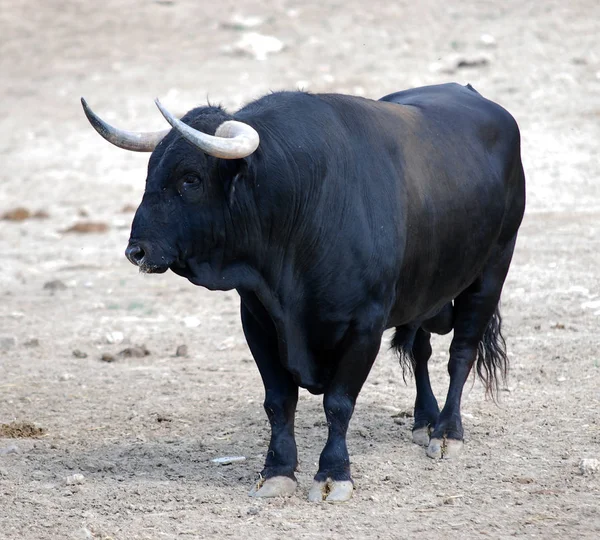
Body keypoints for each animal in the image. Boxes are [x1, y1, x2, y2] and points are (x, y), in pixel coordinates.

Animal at [81, 84, 524, 502]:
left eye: (190, 178)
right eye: (151, 172)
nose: (136, 251)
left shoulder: (364, 326)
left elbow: (338, 403)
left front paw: (333, 475)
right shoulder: (257, 319)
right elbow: (279, 401)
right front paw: (276, 471)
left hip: (491, 271)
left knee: (461, 353)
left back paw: (447, 432)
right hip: (424, 293)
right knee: (420, 351)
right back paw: (424, 420)